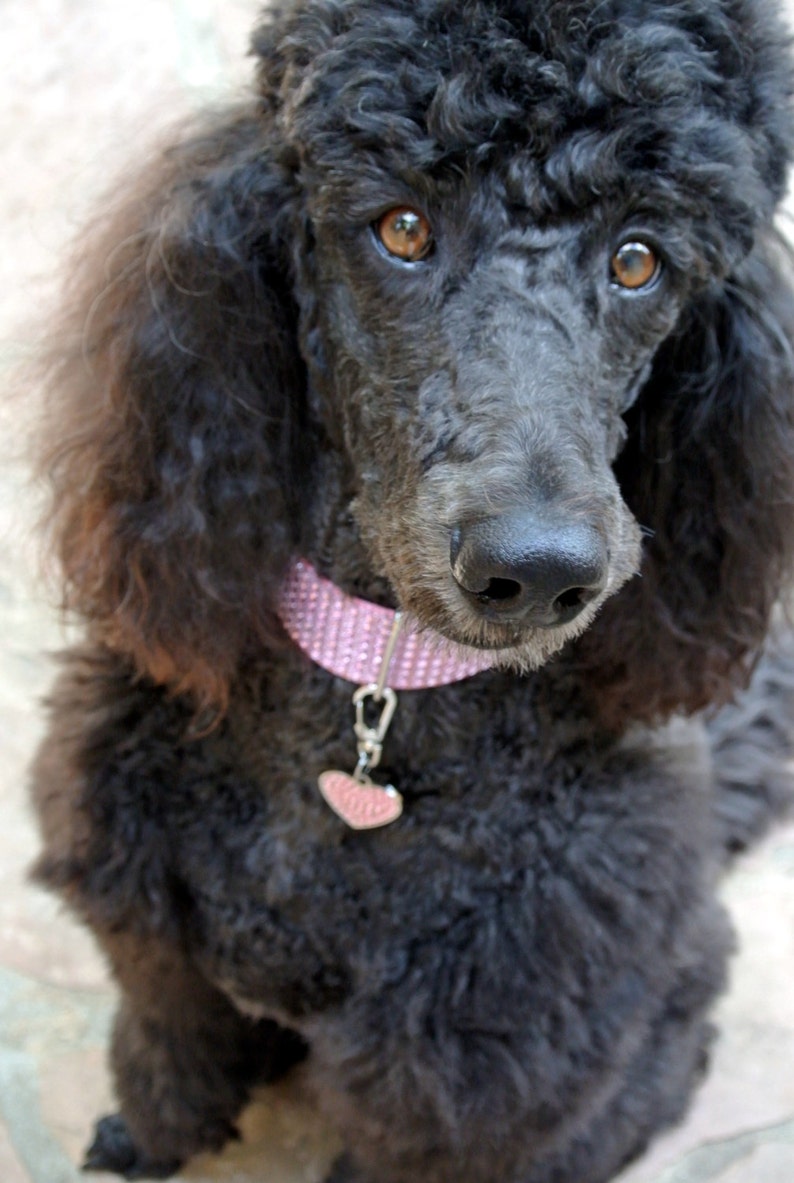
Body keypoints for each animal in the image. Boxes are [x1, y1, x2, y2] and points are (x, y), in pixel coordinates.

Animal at [27, 2, 794, 1183]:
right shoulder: (155, 939)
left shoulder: (451, 1075)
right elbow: (168, 1041)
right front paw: (145, 1139)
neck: (374, 689)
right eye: (399, 227)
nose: (538, 572)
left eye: (638, 261)